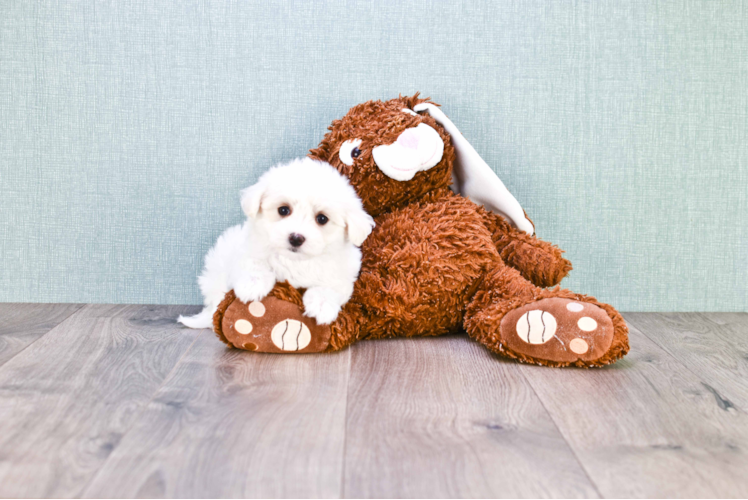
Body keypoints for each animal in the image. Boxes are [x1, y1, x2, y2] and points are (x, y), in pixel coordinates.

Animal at [176, 156, 374, 328]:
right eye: (283, 210)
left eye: (322, 219)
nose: (296, 237)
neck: (295, 261)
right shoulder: (246, 249)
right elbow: (254, 263)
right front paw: (252, 285)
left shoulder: (342, 275)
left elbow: (329, 286)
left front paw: (321, 305)